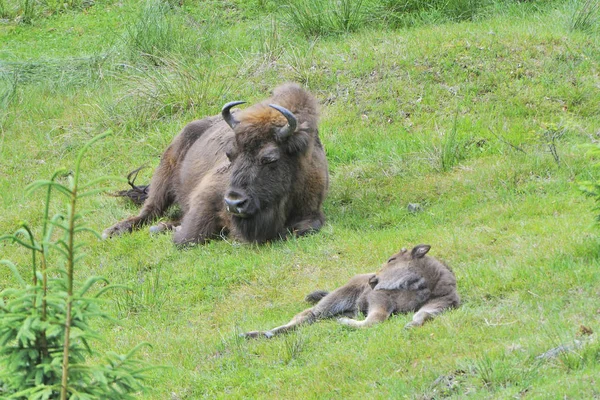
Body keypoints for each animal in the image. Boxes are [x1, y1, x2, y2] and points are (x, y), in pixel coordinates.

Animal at [103, 83, 328, 245]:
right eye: (230, 154)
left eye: (270, 158)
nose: (234, 203)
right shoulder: (208, 194)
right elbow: (188, 238)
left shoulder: (311, 210)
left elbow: (306, 227)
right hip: (164, 172)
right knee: (150, 210)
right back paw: (114, 231)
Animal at [243, 244, 460, 338]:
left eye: (392, 259)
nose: (373, 280)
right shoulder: (380, 299)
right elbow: (376, 319)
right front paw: (344, 323)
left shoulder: (441, 303)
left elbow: (423, 315)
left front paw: (410, 326)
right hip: (336, 298)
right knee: (308, 315)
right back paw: (257, 333)